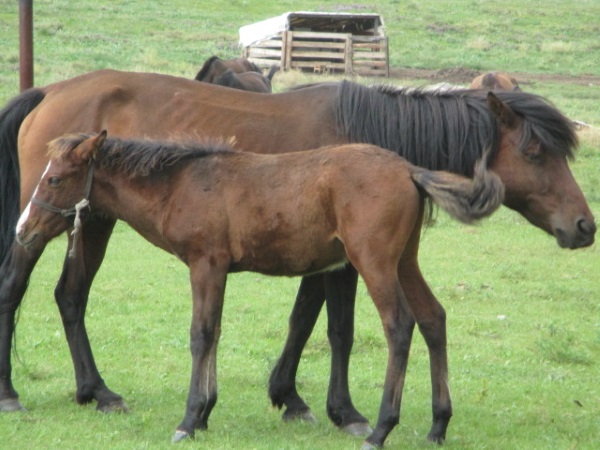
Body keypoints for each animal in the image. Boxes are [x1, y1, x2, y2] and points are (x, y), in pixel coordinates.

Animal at [12, 130, 502, 446]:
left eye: (54, 179)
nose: (23, 230)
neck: (181, 184)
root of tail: (409, 170)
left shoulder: (206, 264)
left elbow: (200, 335)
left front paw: (189, 419)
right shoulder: (217, 270)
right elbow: (214, 332)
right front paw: (205, 413)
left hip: (375, 261)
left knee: (399, 326)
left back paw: (381, 428)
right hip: (405, 260)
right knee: (433, 318)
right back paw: (438, 426)